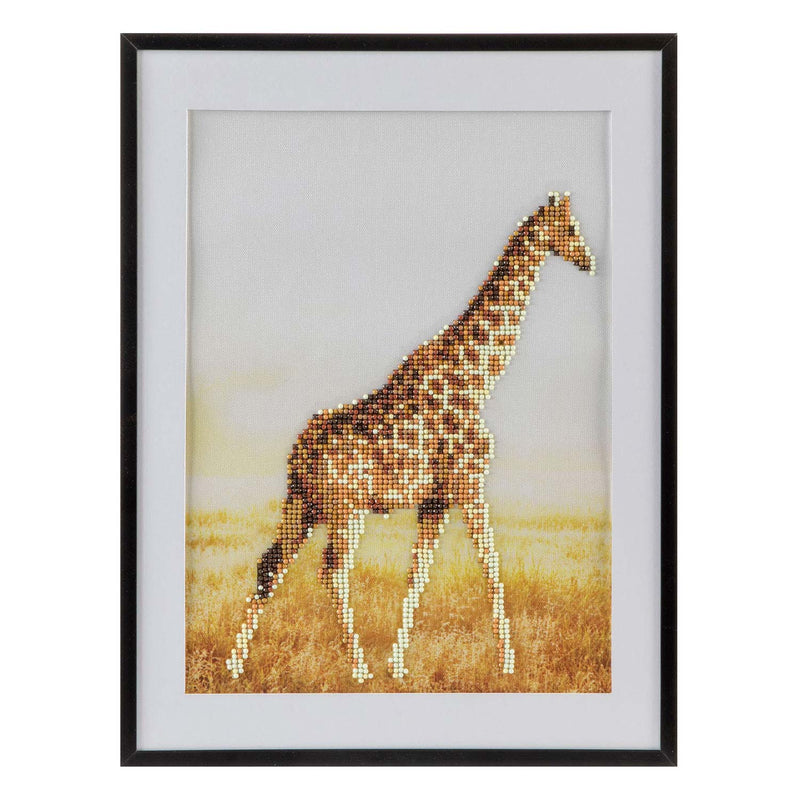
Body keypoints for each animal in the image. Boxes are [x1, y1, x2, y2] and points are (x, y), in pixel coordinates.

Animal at [226, 191, 596, 683]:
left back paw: (235, 665)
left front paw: (398, 665)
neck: (479, 379)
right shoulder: (469, 485)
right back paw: (358, 670)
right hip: (345, 509)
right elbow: (492, 568)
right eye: (571, 228)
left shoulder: (435, 500)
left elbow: (417, 575)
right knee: (331, 573)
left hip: (301, 505)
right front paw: (508, 664)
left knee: (269, 565)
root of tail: (296, 457)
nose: (590, 261)